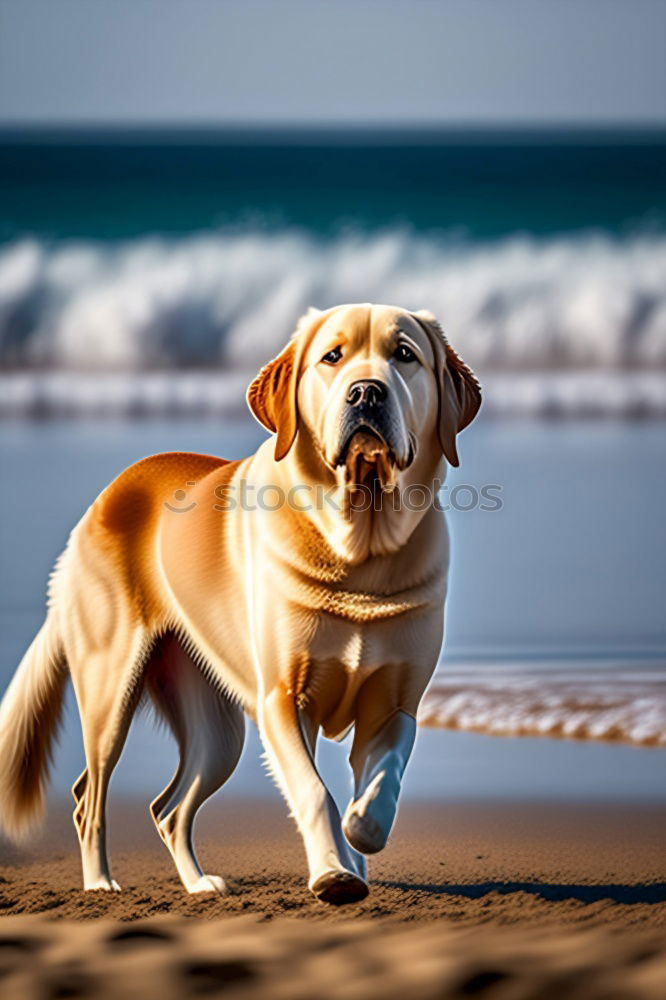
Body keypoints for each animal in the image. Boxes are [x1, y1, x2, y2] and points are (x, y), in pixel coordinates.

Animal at [0, 300, 480, 904]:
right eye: (332, 356)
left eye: (405, 355)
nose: (367, 392)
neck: (360, 550)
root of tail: (105, 497)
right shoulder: (283, 700)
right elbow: (313, 792)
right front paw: (333, 873)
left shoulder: (395, 703)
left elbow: (381, 778)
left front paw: (359, 836)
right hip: (111, 687)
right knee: (90, 796)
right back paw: (101, 883)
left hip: (216, 731)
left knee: (168, 808)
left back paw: (199, 883)